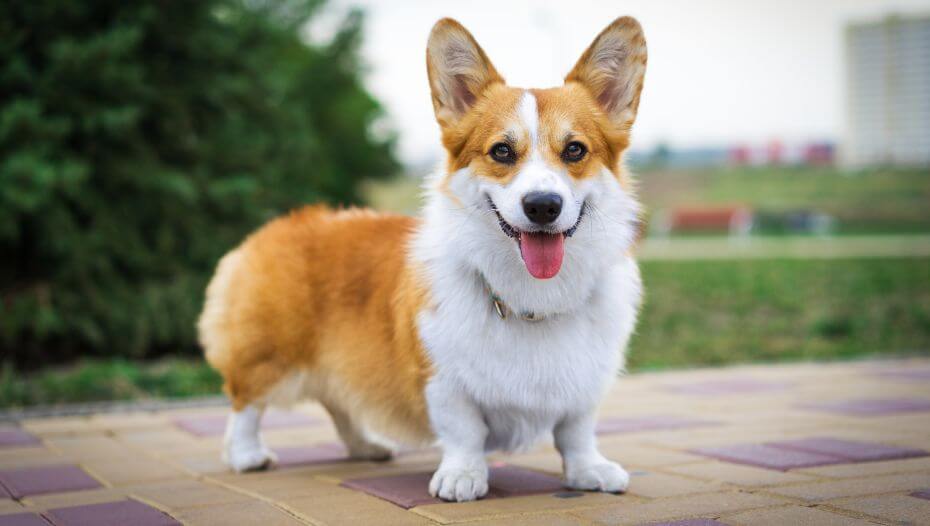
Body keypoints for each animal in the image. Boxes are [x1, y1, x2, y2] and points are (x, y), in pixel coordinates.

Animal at [198, 15, 644, 504]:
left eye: (575, 150)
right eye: (502, 151)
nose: (542, 205)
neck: (531, 298)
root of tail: (277, 226)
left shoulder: (584, 382)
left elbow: (576, 432)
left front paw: (589, 471)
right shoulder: (443, 377)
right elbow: (465, 430)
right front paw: (463, 476)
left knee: (340, 401)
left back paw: (367, 446)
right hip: (271, 355)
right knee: (245, 401)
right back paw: (247, 455)